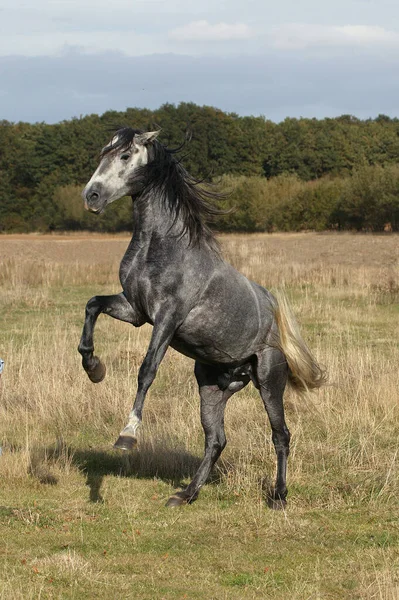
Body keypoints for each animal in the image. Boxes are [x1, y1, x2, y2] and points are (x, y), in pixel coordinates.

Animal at [79, 129, 328, 508]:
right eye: (104, 152)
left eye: (124, 155)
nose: (91, 196)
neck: (161, 246)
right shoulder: (135, 311)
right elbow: (92, 306)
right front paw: (94, 368)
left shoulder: (167, 318)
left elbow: (146, 370)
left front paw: (127, 436)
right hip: (211, 388)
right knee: (216, 440)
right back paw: (185, 494)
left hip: (269, 381)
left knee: (280, 435)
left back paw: (279, 496)